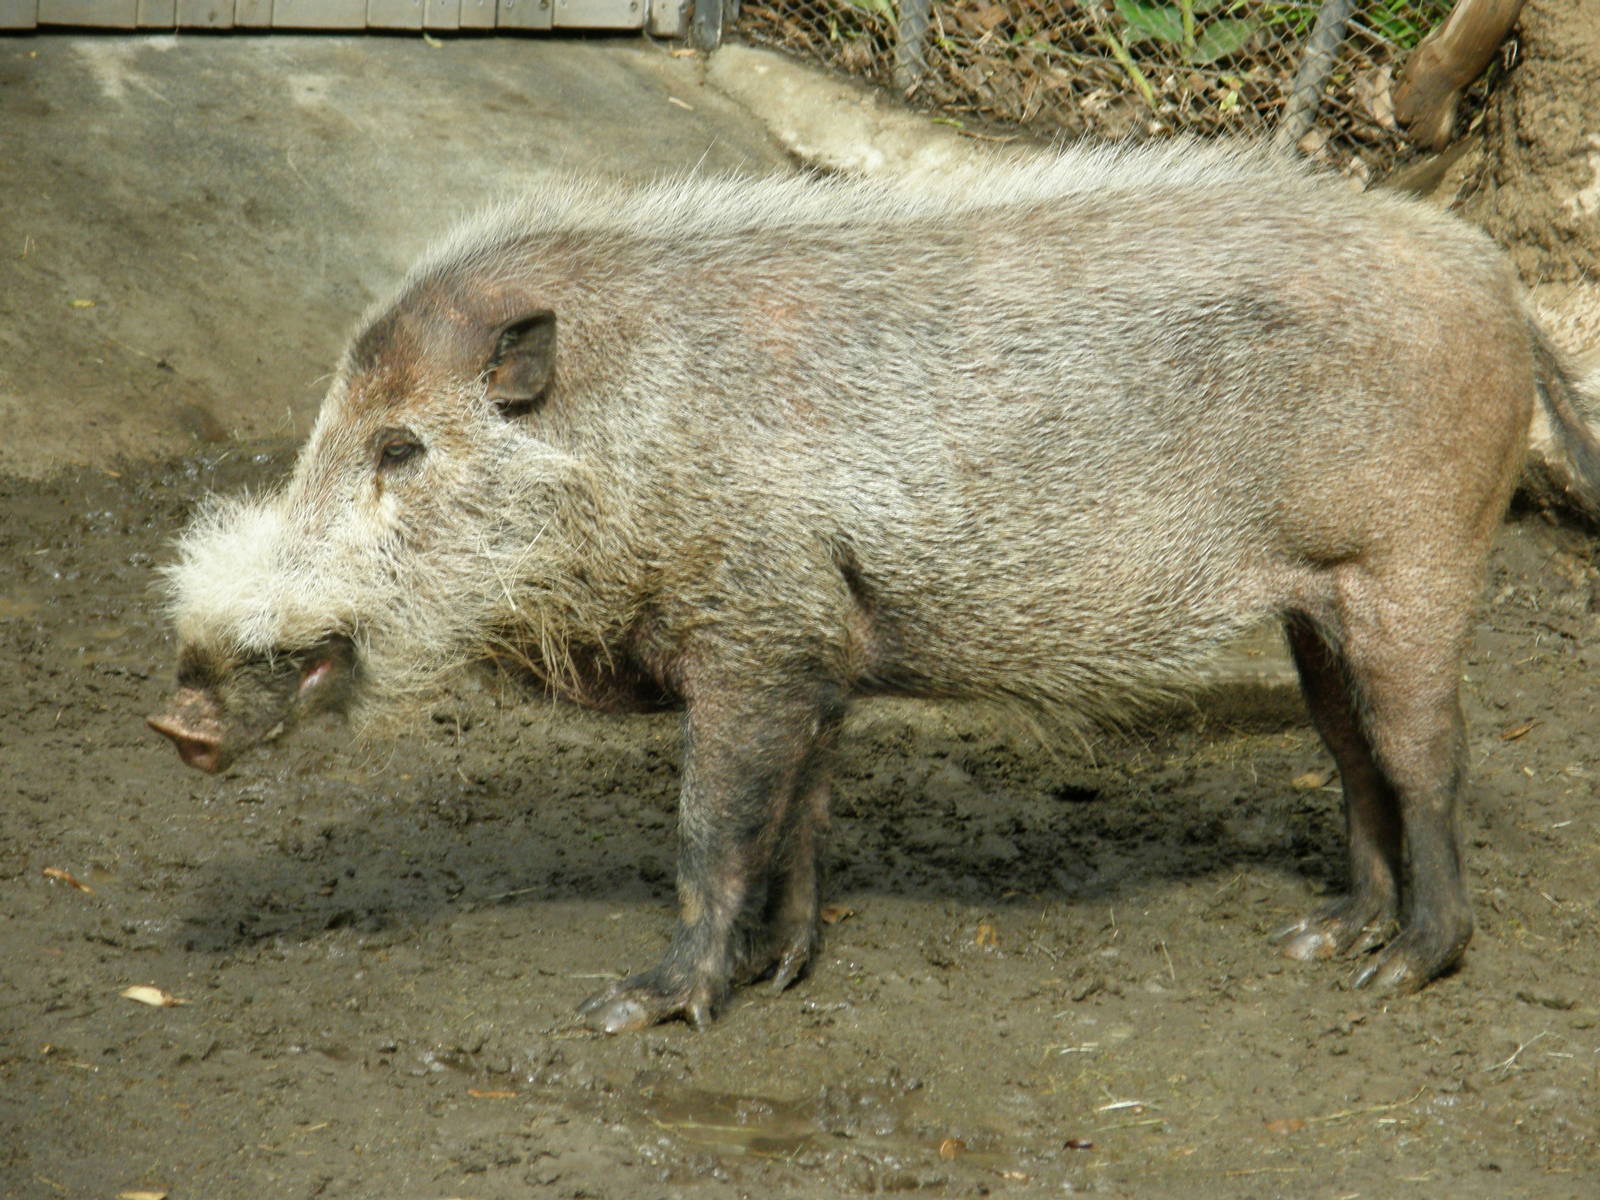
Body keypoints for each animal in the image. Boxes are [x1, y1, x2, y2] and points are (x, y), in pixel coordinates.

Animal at [149, 140, 1600, 1031]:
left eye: (400, 447)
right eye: (331, 426)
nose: (178, 708)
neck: (630, 438)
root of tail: (1498, 280)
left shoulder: (756, 627)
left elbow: (709, 826)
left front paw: (632, 1009)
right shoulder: (819, 646)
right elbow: (796, 814)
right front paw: (785, 973)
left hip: (1414, 562)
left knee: (1424, 759)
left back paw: (1400, 972)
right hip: (1315, 605)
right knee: (1349, 757)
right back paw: (1321, 939)